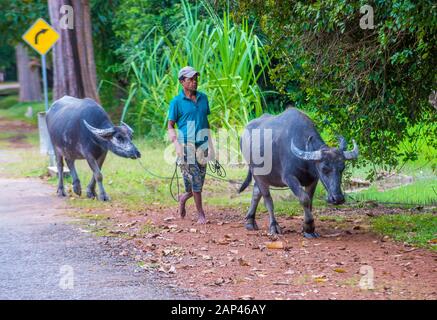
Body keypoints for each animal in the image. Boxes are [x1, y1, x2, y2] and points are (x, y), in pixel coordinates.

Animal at [238, 107, 358, 238]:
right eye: (324, 169)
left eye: (342, 168)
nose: (338, 198)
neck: (304, 161)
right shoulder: (289, 178)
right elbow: (304, 199)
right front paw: (308, 226)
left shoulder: (313, 180)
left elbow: (310, 202)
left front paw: (308, 230)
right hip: (257, 174)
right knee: (267, 200)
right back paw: (274, 226)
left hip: (264, 176)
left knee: (256, 192)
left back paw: (250, 222)